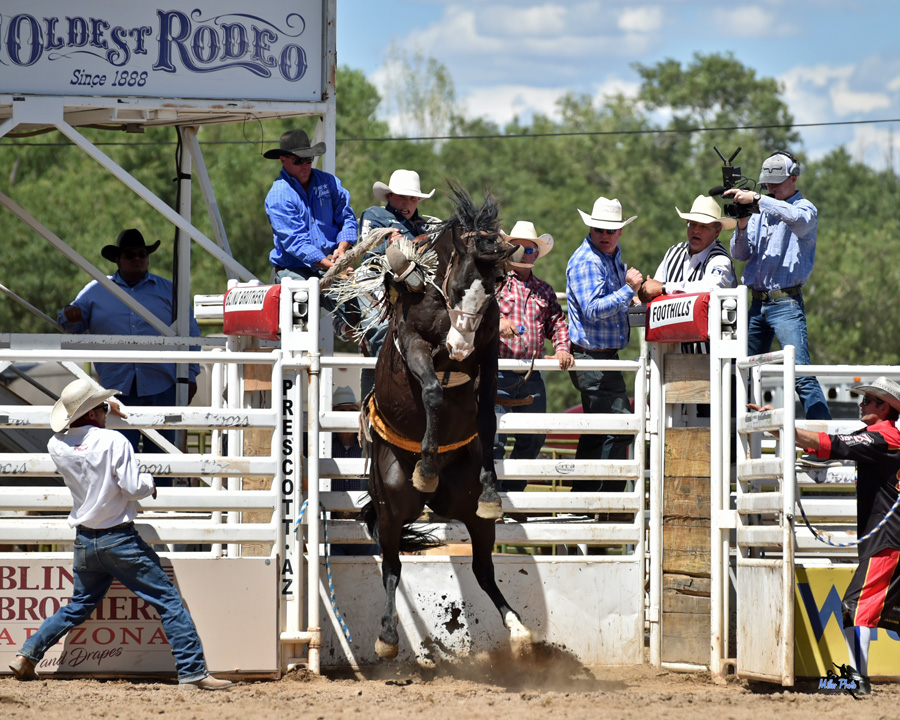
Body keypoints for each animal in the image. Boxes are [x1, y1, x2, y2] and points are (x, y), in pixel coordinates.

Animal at [364, 184, 536, 660]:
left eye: (493, 290)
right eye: (458, 286)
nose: (458, 348)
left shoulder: (489, 350)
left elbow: (486, 417)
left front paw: (494, 491)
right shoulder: (414, 342)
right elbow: (433, 392)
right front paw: (424, 467)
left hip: (470, 515)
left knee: (483, 569)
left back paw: (518, 630)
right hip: (390, 508)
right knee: (391, 566)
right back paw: (386, 637)